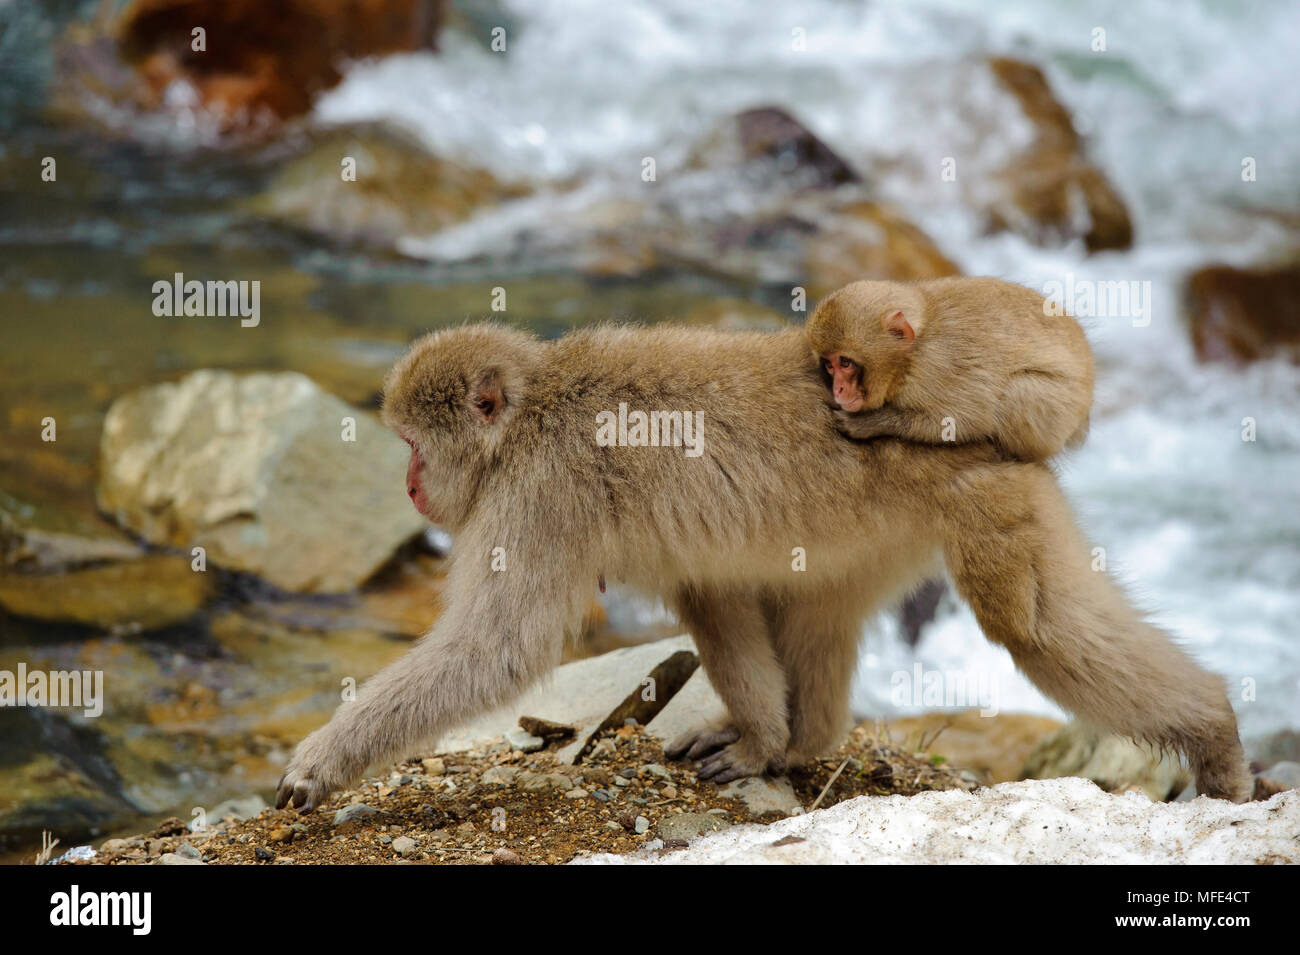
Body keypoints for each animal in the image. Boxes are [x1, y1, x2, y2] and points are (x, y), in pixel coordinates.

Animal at [274, 322, 1249, 812]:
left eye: (411, 444)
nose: (407, 484)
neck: (530, 412)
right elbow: (711, 588)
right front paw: (761, 736)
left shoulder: (538, 490)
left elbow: (499, 649)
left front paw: (321, 762)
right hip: (879, 528)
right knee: (775, 596)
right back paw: (791, 740)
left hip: (979, 490)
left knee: (1034, 623)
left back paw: (1211, 731)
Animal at [807, 278, 1095, 462]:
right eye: (829, 365)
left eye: (845, 363)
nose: (838, 389)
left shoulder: (937, 367)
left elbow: (963, 420)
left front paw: (870, 423)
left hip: (1063, 412)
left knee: (1020, 391)